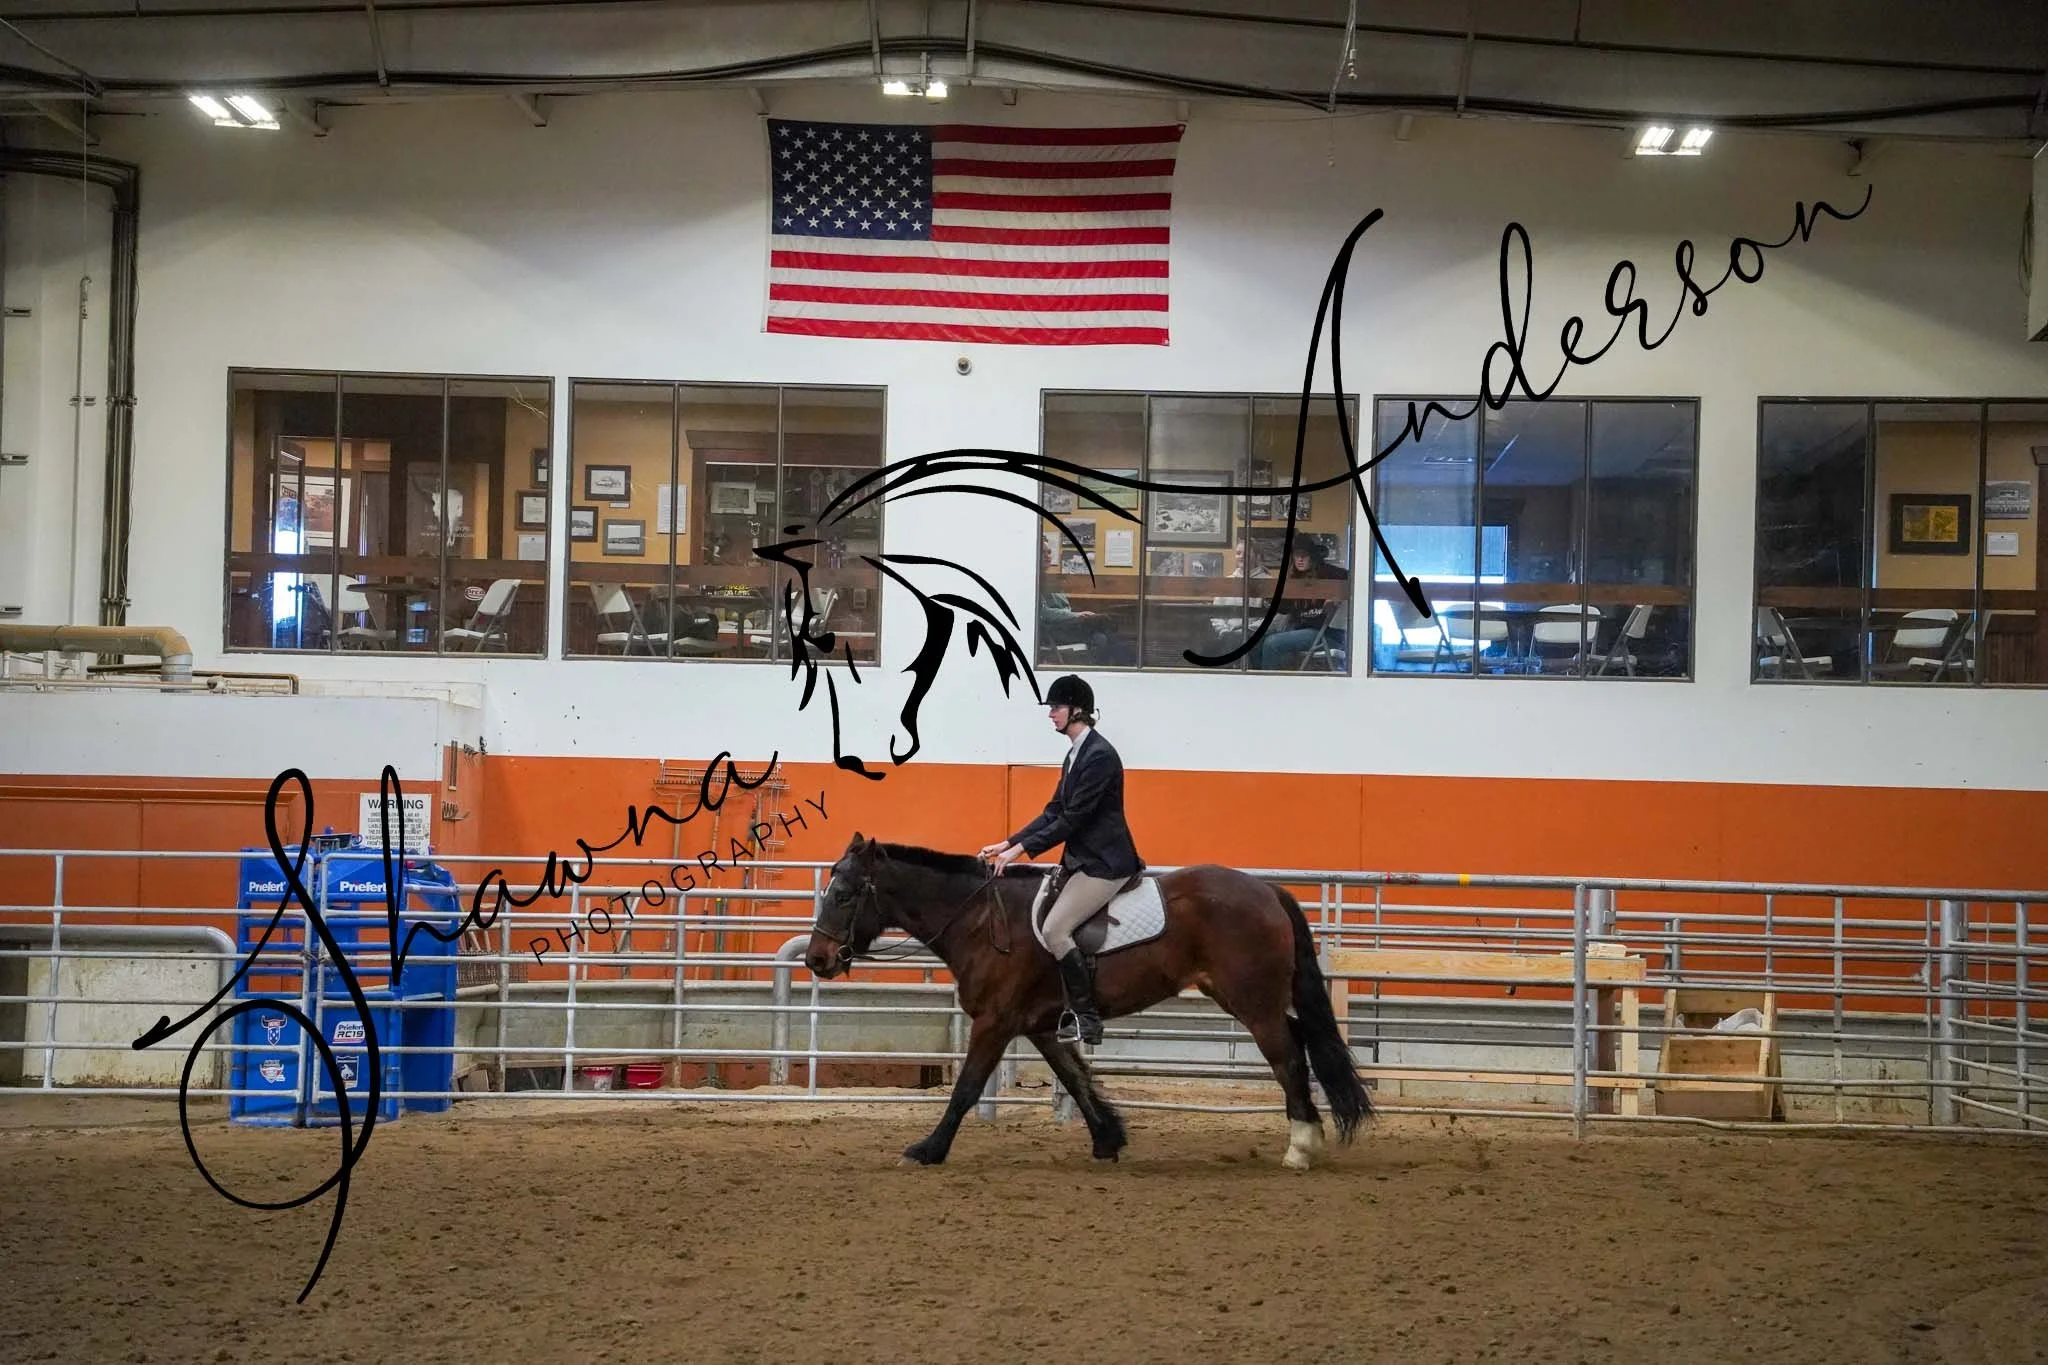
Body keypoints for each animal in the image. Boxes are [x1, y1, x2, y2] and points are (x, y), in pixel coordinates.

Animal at [803, 832, 1372, 1170]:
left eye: (845, 894)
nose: (816, 959)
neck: (981, 921)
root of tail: (1267, 890)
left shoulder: (995, 1021)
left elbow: (965, 1089)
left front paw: (927, 1150)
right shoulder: (1036, 1024)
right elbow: (1076, 1078)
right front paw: (1108, 1139)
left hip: (1252, 1003)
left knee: (1287, 1057)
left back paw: (1300, 1146)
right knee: (1297, 1046)